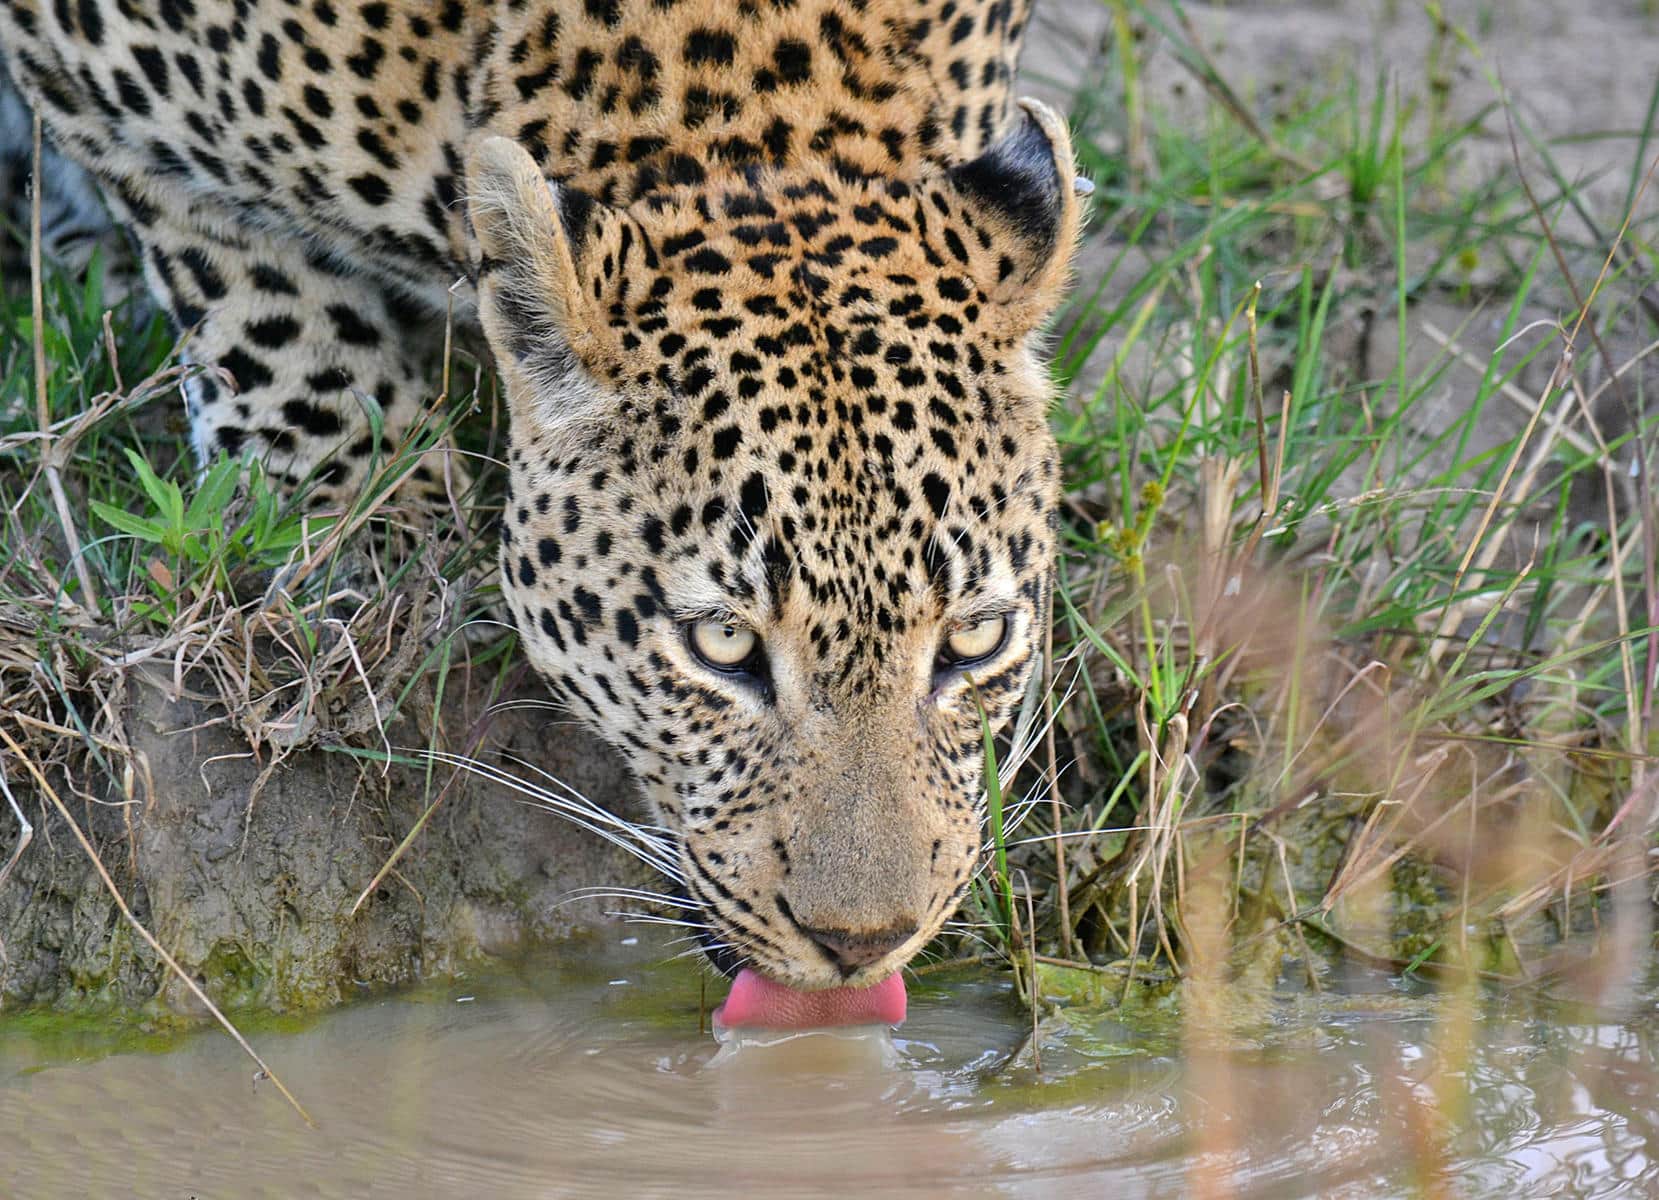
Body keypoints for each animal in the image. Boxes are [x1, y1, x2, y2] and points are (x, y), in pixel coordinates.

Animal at [0, 0, 1083, 1015]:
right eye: (723, 647)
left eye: (975, 640)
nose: (863, 943)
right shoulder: (108, 98)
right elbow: (261, 298)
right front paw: (365, 532)